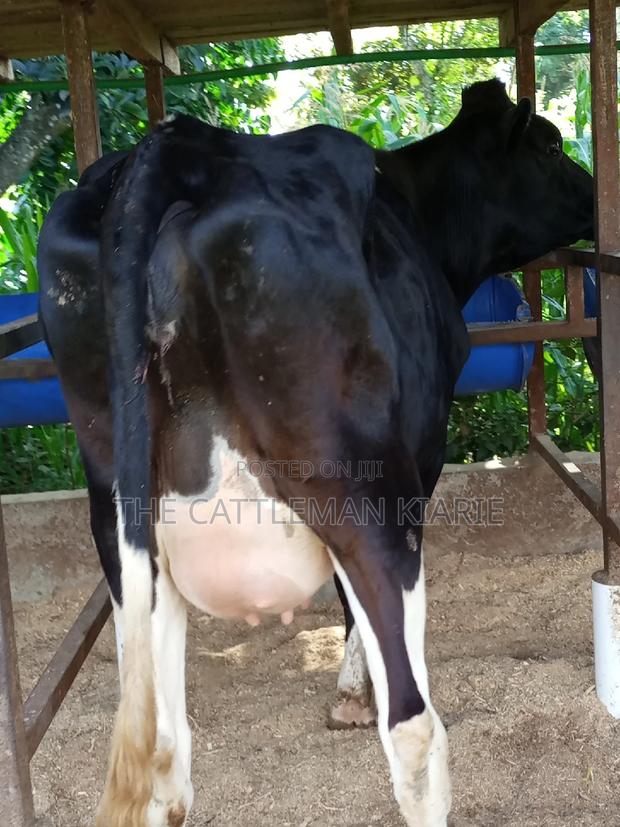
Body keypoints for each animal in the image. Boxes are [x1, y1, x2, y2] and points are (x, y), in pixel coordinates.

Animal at [37, 78, 593, 827]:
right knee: (413, 730)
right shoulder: (420, 462)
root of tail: (179, 147)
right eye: (552, 146)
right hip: (364, 490)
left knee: (165, 753)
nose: (595, 193)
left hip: (120, 518)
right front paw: (354, 692)